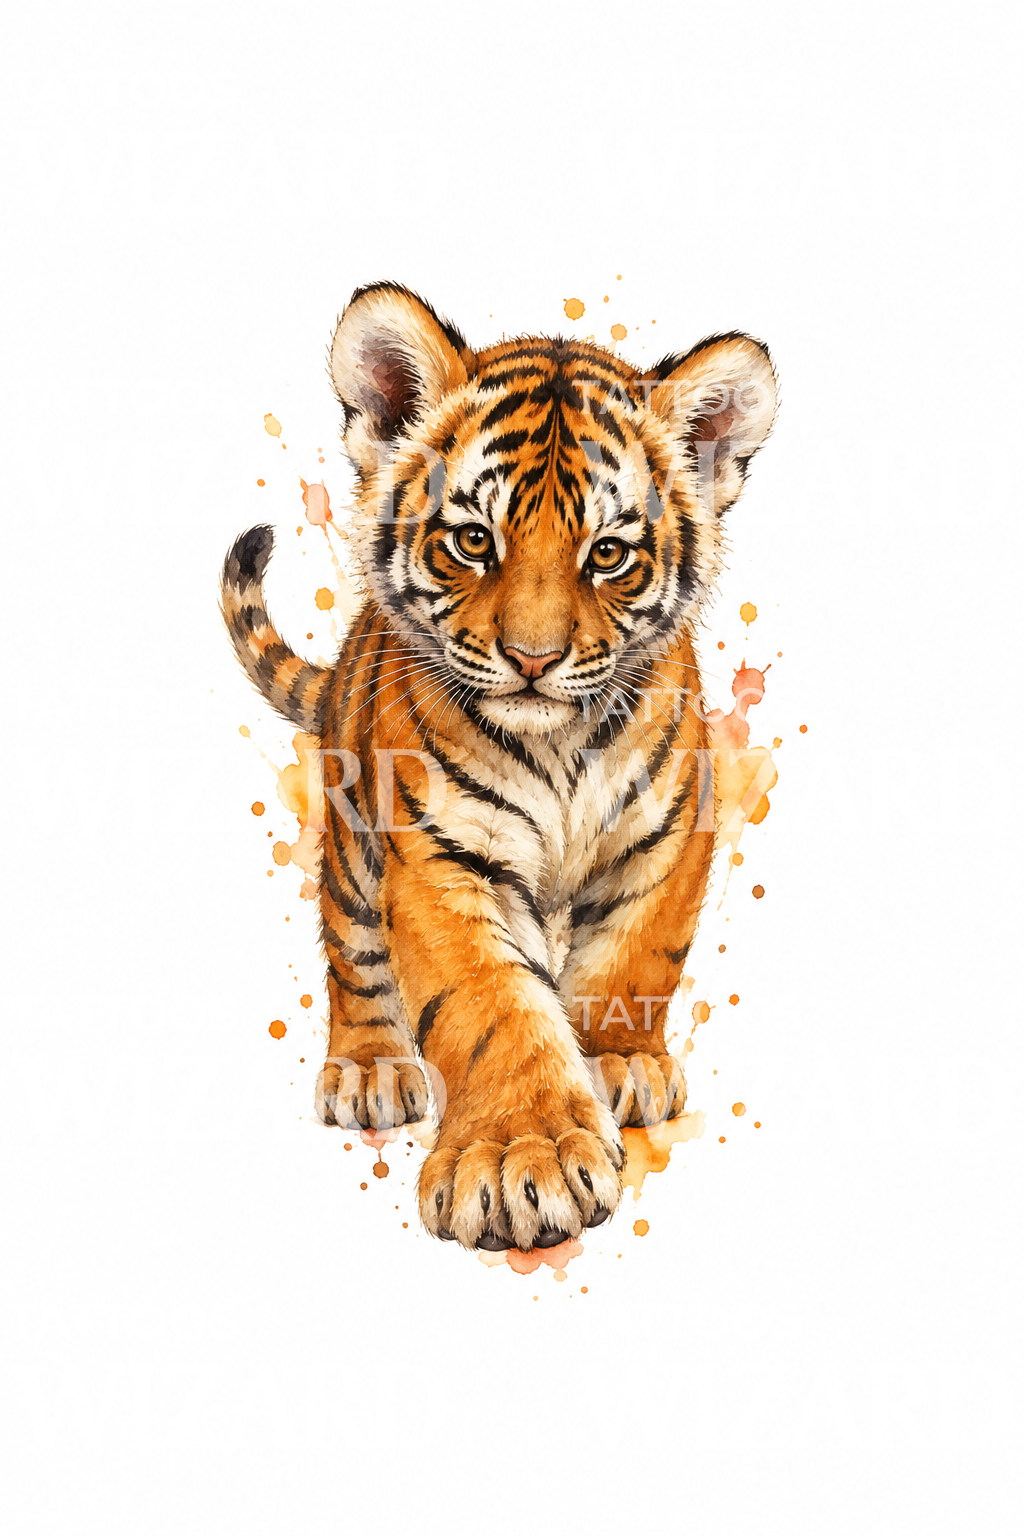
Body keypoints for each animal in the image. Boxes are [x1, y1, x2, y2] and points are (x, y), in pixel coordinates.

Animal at [221, 281, 776, 1252]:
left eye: (608, 553)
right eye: (474, 542)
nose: (533, 658)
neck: (560, 747)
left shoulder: (670, 831)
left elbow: (636, 958)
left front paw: (620, 1066)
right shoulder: (439, 855)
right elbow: (490, 1005)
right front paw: (524, 1157)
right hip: (354, 838)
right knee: (352, 954)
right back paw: (369, 1070)